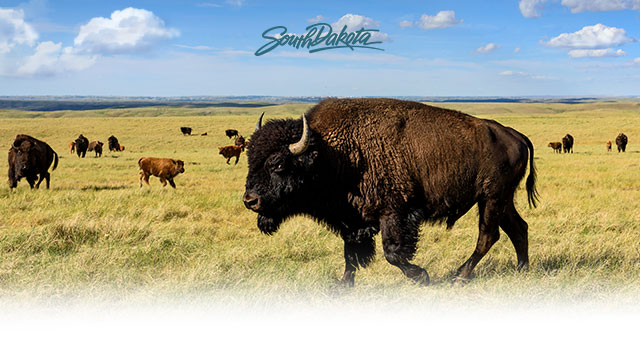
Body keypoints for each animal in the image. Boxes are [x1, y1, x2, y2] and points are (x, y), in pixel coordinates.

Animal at [242, 98, 536, 286]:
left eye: (278, 164)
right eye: (249, 158)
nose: (250, 200)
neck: (330, 153)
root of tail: (515, 135)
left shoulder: (394, 213)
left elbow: (392, 253)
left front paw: (422, 277)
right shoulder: (352, 220)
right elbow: (351, 253)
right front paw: (342, 285)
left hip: (491, 198)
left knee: (489, 235)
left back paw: (459, 277)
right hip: (502, 199)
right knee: (518, 228)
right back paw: (521, 270)